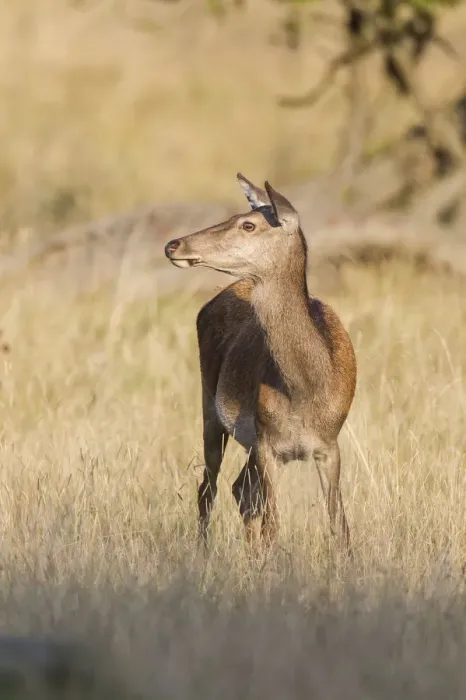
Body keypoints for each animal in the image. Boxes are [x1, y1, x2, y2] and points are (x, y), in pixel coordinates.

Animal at [164, 174, 357, 554]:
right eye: (237, 216)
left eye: (248, 224)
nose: (173, 244)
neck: (305, 391)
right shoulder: (269, 444)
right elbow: (272, 526)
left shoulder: (329, 445)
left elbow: (339, 526)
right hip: (210, 408)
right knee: (209, 488)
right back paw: (203, 553)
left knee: (239, 490)